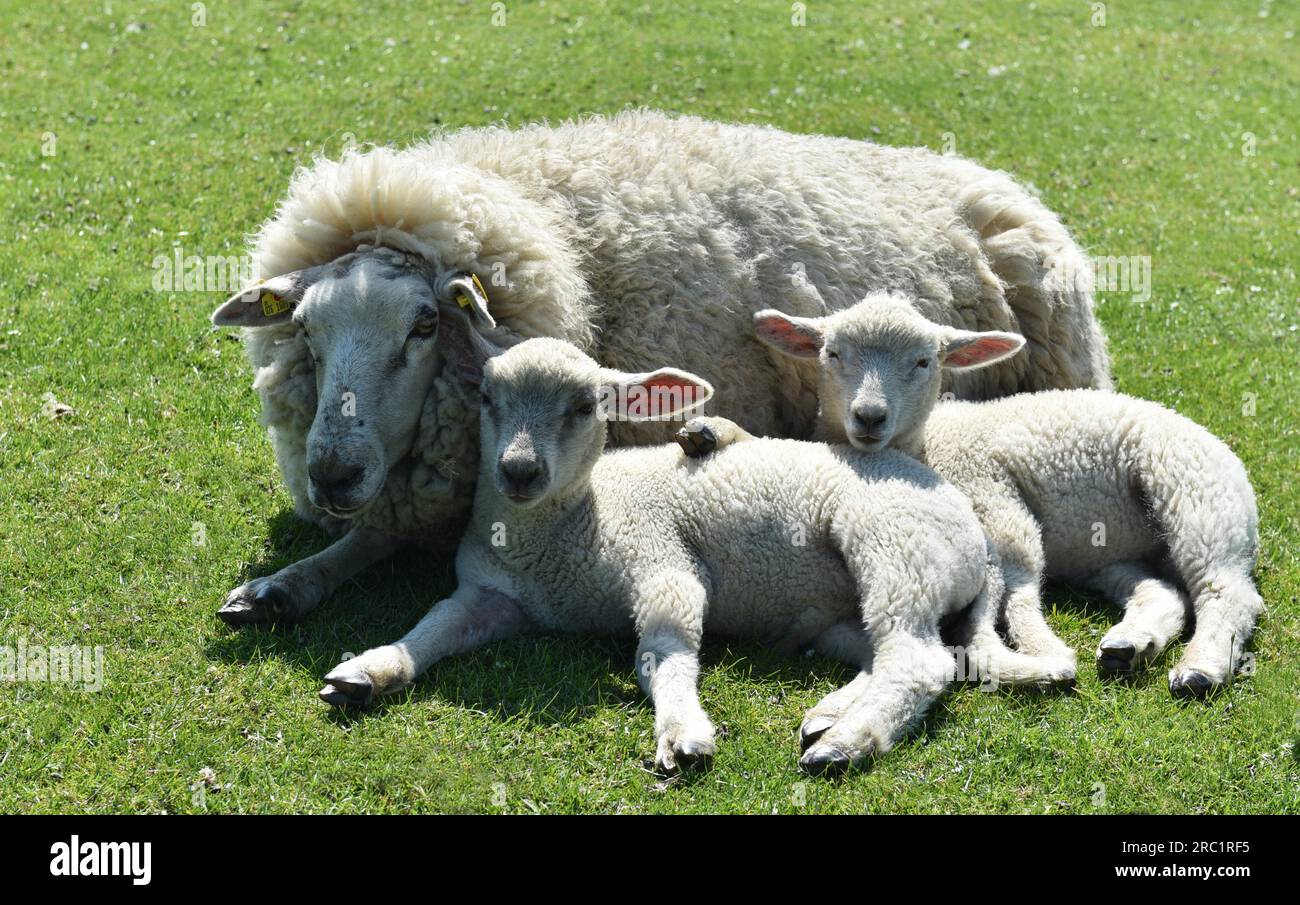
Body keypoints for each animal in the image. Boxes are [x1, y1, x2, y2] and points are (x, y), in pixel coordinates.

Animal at [210, 109, 1107, 626]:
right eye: (308, 330)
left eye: (425, 325)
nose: (330, 473)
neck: (559, 237)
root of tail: (995, 177)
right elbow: (365, 540)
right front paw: (284, 583)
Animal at [317, 328, 1055, 774]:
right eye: (488, 398)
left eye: (586, 407)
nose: (519, 471)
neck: (568, 533)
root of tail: (973, 532)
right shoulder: (489, 595)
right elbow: (431, 627)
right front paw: (369, 668)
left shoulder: (664, 565)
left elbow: (662, 656)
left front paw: (681, 730)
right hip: (854, 605)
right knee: (905, 650)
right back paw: (830, 715)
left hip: (893, 544)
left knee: (919, 659)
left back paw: (847, 742)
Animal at [722, 293, 1258, 696]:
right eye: (832, 354)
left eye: (924, 361)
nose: (869, 417)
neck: (928, 449)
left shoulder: (996, 503)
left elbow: (1018, 591)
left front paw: (1040, 652)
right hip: (1116, 553)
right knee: (1164, 591)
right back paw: (1132, 644)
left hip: (1197, 497)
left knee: (1226, 590)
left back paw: (1201, 668)